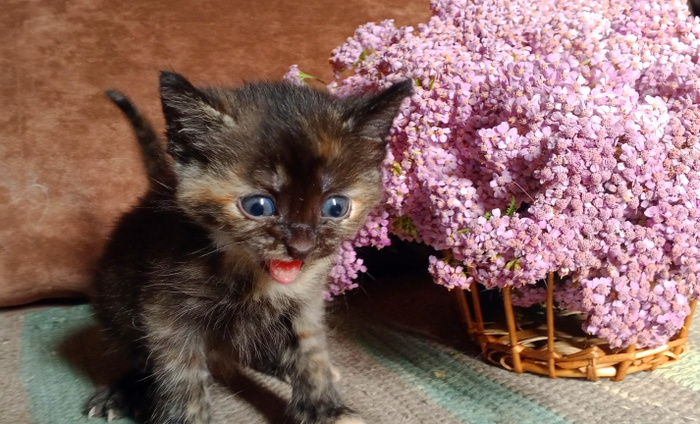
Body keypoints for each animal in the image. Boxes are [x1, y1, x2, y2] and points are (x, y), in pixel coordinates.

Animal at [87, 71, 412, 424]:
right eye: (258, 206)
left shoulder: (305, 302)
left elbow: (311, 354)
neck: (253, 275)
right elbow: (180, 374)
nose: (301, 247)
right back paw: (123, 393)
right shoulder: (166, 313)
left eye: (336, 207)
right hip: (114, 302)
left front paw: (326, 409)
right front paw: (186, 417)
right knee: (139, 354)